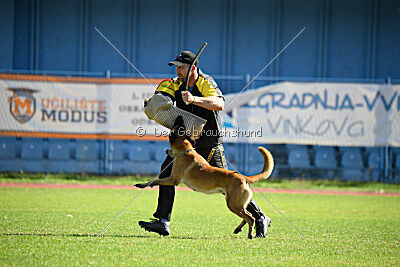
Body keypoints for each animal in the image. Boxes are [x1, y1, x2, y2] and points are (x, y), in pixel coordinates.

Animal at [135, 116, 276, 240]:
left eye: (178, 125)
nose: (180, 115)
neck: (186, 150)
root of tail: (241, 176)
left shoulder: (172, 179)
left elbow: (156, 180)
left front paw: (143, 185)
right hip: (236, 203)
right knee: (248, 216)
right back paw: (239, 229)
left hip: (233, 204)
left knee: (250, 218)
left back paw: (250, 234)